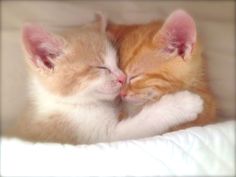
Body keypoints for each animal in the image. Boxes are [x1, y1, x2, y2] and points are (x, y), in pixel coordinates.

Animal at [9, 15, 204, 145]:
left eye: (116, 62)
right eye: (101, 67)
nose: (122, 77)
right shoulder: (99, 136)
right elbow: (146, 120)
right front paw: (184, 103)